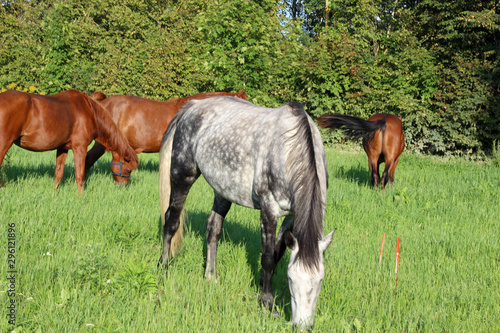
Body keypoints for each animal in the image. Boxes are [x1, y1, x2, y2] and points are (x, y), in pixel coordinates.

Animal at [0, 89, 139, 192]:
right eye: (128, 169)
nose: (122, 187)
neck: (90, 111)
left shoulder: (62, 148)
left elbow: (58, 174)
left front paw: (55, 194)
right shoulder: (80, 148)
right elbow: (80, 175)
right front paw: (80, 197)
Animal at [160, 96, 336, 330]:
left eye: (320, 280)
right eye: (290, 279)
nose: (302, 326)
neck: (287, 151)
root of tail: (191, 106)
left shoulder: (291, 215)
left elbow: (278, 251)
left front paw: (262, 284)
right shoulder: (269, 210)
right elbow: (268, 257)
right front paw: (268, 303)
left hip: (222, 190)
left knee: (213, 229)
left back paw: (211, 277)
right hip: (182, 175)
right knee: (171, 220)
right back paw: (163, 266)